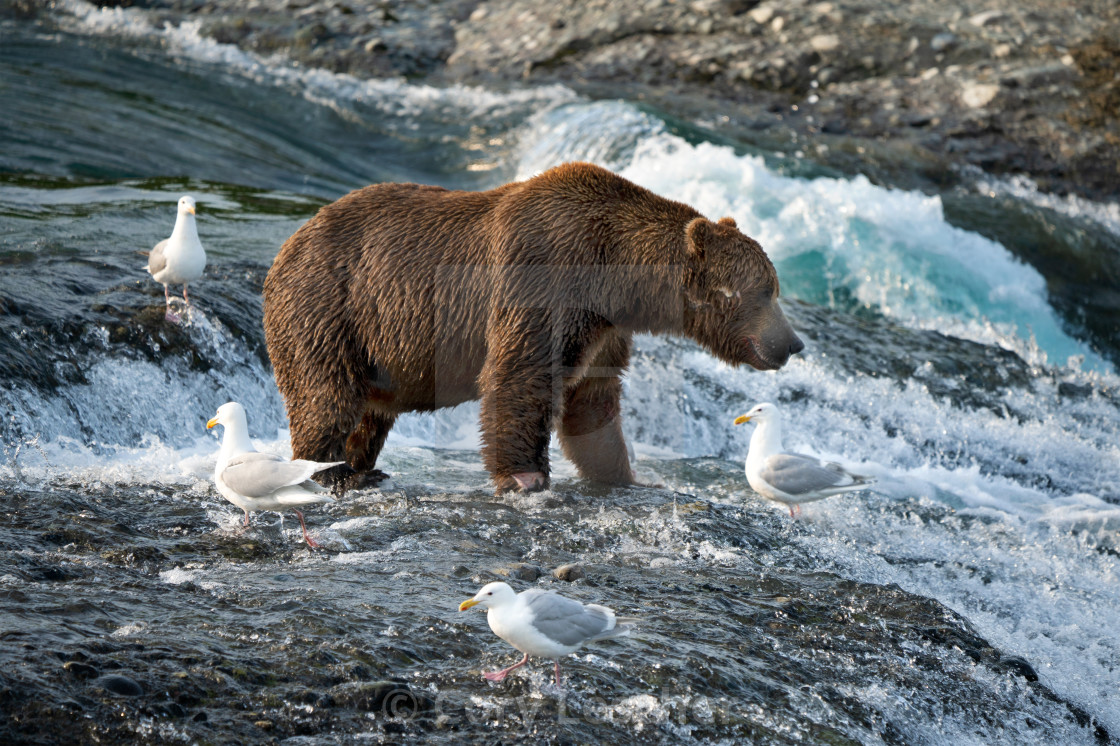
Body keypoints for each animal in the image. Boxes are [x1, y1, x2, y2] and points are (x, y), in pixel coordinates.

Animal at [264, 160, 806, 490]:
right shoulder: (546, 275)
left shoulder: (604, 328)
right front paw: (525, 476)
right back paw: (330, 471)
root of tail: (289, 243)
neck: (616, 275)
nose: (793, 343)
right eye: (764, 291)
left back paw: (362, 467)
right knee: (327, 396)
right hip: (330, 307)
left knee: (369, 411)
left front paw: (622, 474)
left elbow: (592, 401)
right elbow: (521, 375)